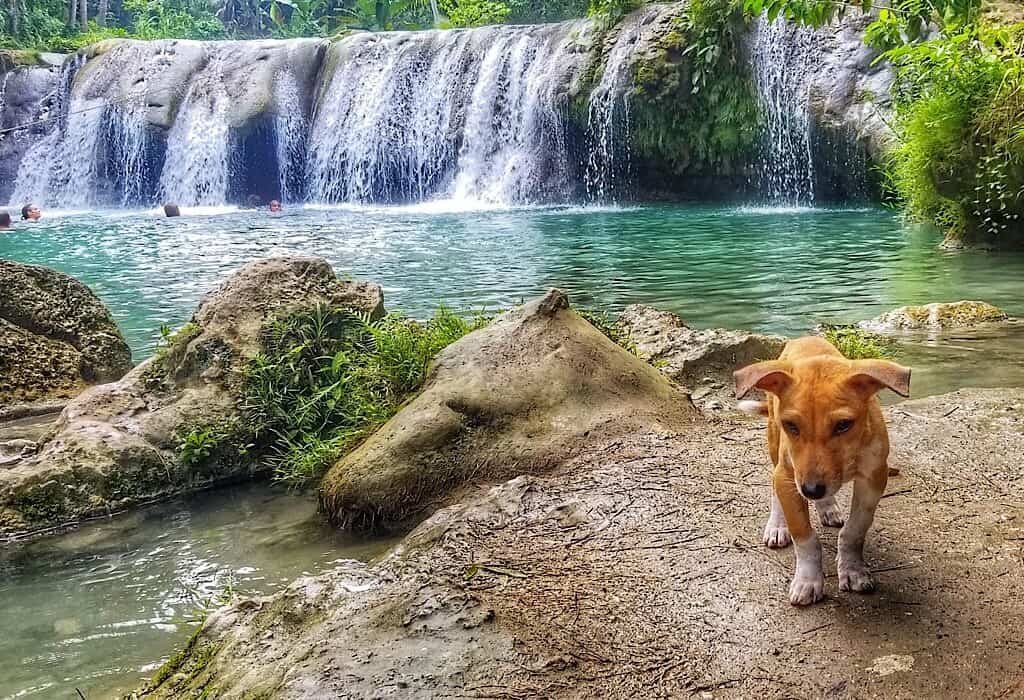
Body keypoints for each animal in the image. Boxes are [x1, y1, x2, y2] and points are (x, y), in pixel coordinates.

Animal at [733, 335, 909, 605]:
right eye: (791, 425)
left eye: (843, 425)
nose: (812, 490)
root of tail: (803, 338)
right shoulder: (789, 477)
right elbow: (804, 537)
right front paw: (808, 581)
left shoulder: (874, 477)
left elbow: (855, 529)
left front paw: (852, 569)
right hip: (775, 446)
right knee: (774, 487)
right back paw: (777, 525)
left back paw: (827, 507)